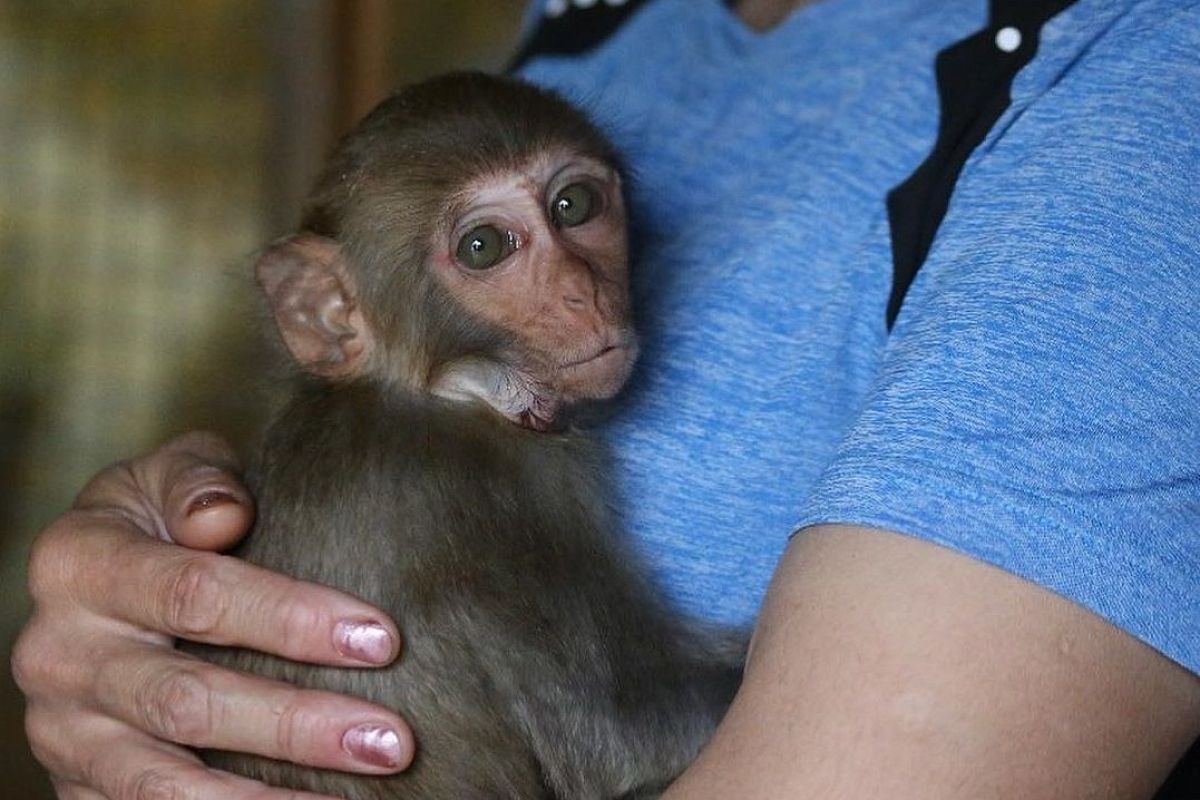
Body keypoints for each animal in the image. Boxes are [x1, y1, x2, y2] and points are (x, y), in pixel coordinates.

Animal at [189, 73, 739, 800]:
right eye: (484, 247)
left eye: (574, 205)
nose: (583, 294)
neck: (443, 393)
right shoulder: (480, 493)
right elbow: (629, 737)